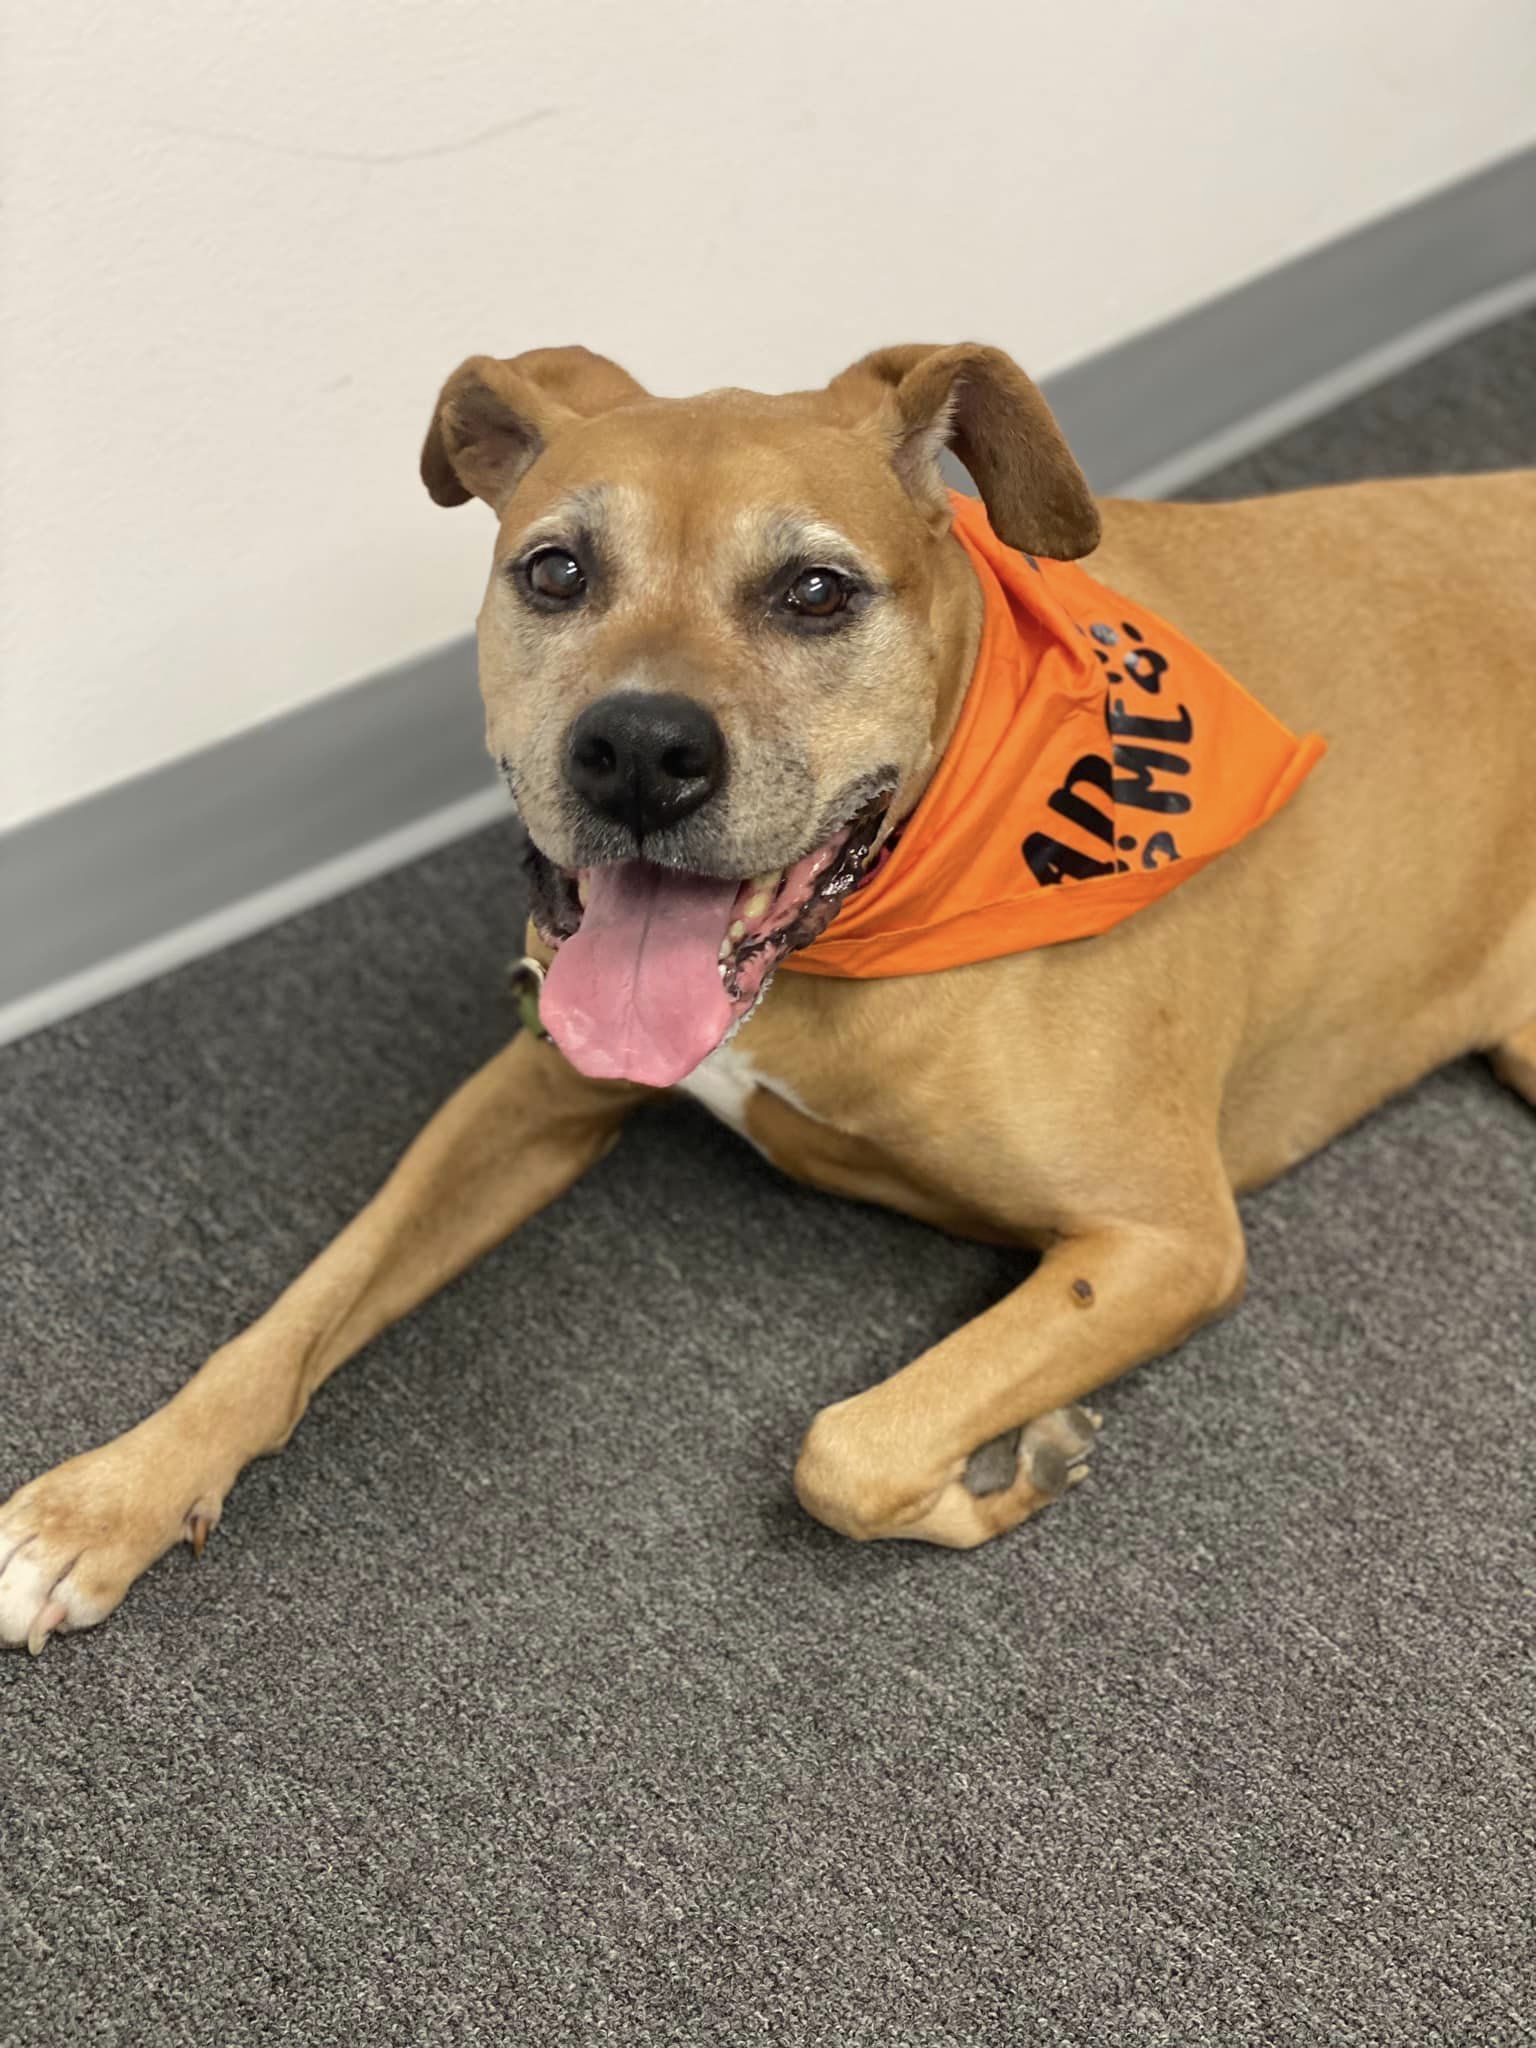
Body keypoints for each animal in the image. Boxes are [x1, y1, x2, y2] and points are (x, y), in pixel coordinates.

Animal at [3, 339, 1536, 1646]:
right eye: (555, 571)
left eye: (815, 592)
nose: (636, 749)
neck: (843, 939)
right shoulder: (530, 1088)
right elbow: (301, 1308)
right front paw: (110, 1495)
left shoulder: (1166, 1237)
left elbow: (843, 1449)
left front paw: (1002, 1474)